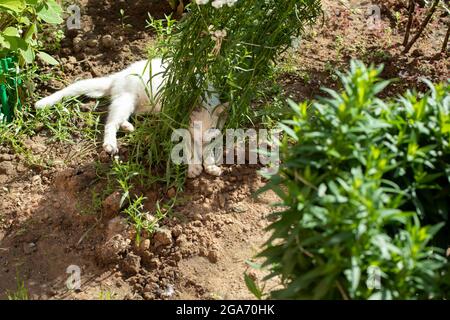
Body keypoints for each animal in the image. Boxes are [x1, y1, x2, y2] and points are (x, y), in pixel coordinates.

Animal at [34, 57, 225, 178]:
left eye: (211, 135)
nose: (201, 141)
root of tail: (119, 74)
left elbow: (208, 150)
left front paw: (210, 165)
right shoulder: (180, 128)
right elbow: (188, 148)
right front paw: (194, 167)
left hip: (140, 106)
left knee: (122, 118)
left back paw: (128, 126)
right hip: (126, 101)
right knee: (110, 123)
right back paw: (110, 144)